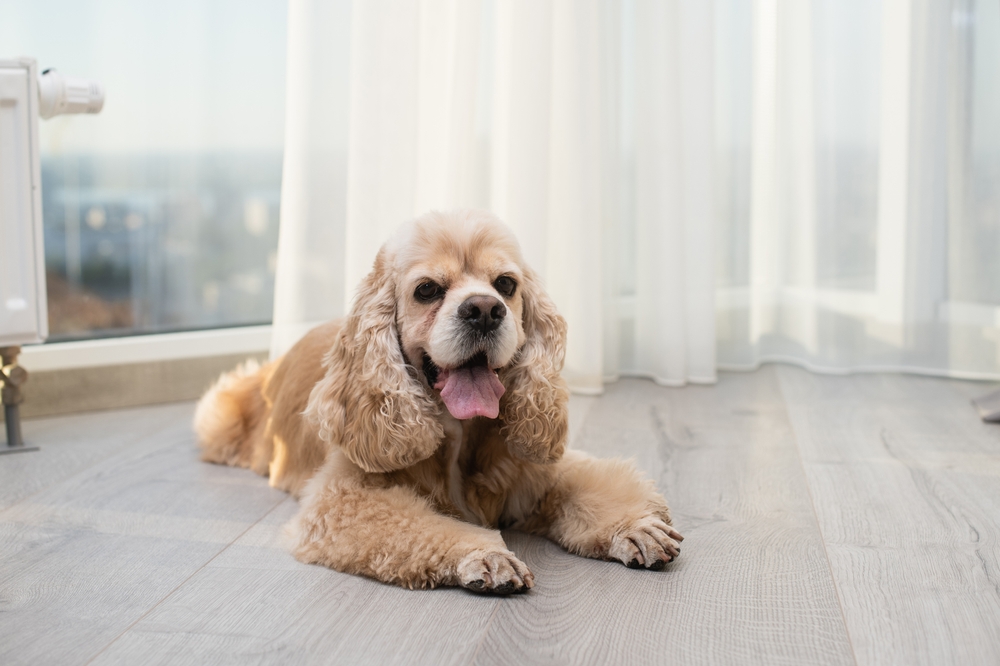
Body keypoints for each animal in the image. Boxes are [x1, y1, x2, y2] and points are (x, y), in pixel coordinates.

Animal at [195, 209, 680, 592]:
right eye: (427, 289)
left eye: (506, 284)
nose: (484, 310)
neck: (460, 438)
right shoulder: (342, 498)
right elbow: (428, 525)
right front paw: (485, 555)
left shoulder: (539, 468)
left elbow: (591, 485)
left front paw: (634, 526)